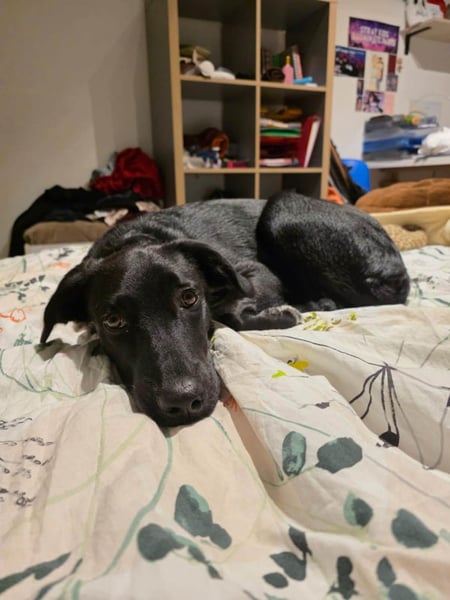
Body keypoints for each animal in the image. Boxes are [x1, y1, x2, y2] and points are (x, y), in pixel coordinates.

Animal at [41, 191, 410, 427]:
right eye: (113, 321)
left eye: (189, 298)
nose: (183, 403)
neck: (135, 238)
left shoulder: (255, 272)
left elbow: (229, 312)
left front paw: (276, 314)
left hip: (283, 210)